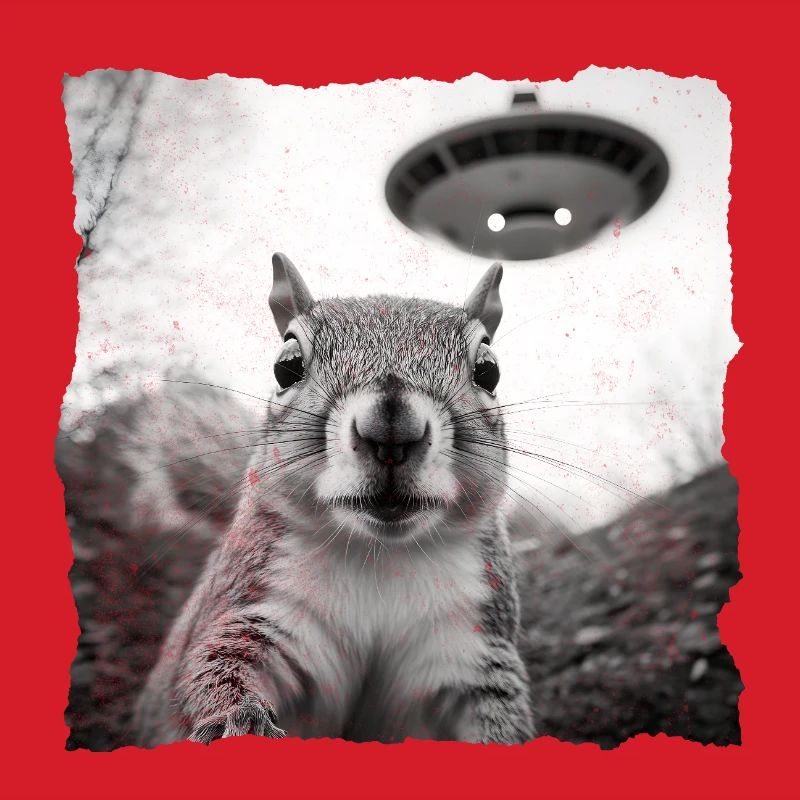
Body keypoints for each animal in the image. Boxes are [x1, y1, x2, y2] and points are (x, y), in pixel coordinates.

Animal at [134, 252, 535, 746]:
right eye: (286, 366)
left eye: (488, 370)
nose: (391, 428)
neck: (381, 555)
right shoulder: (258, 605)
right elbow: (216, 666)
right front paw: (238, 719)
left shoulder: (470, 645)